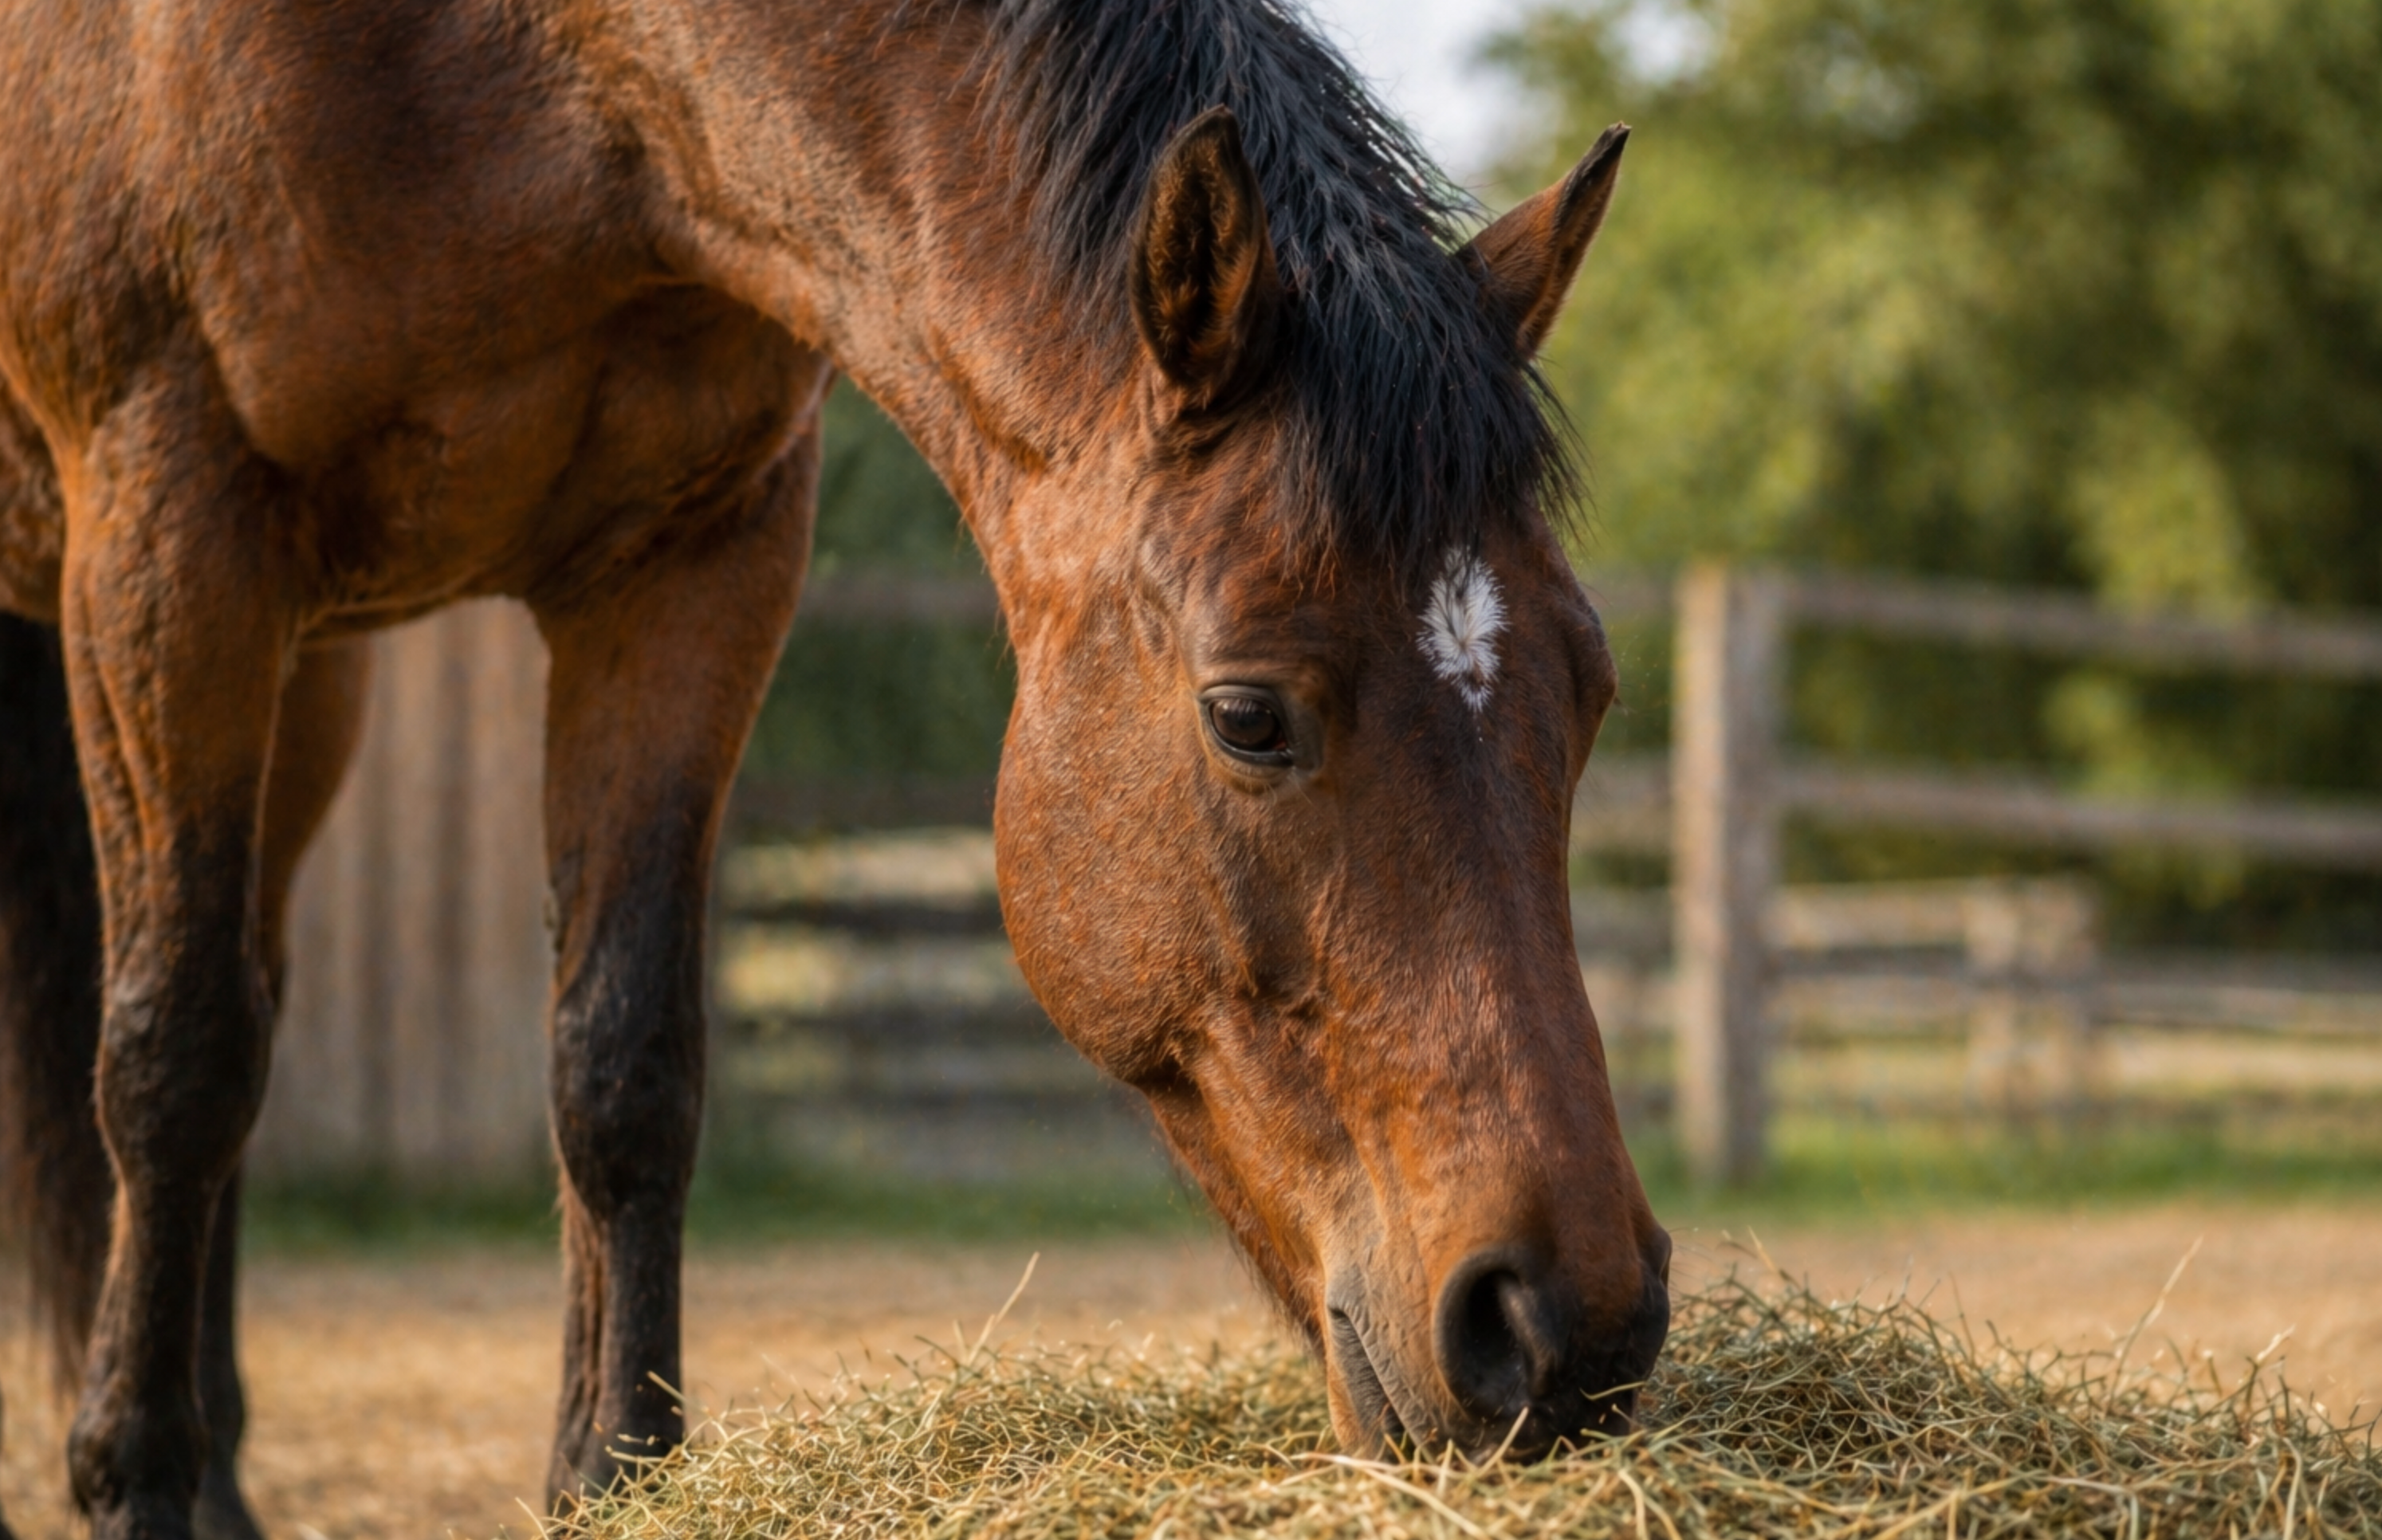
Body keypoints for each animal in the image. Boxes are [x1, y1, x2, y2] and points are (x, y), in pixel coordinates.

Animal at [0, 2, 1670, 1534]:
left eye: (1588, 692)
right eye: (1248, 715)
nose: (1561, 1323)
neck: (547, 81)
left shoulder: (692, 561)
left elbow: (623, 1058)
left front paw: (617, 1471)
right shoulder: (172, 534)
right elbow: (175, 1053)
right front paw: (131, 1484)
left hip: (320, 671)